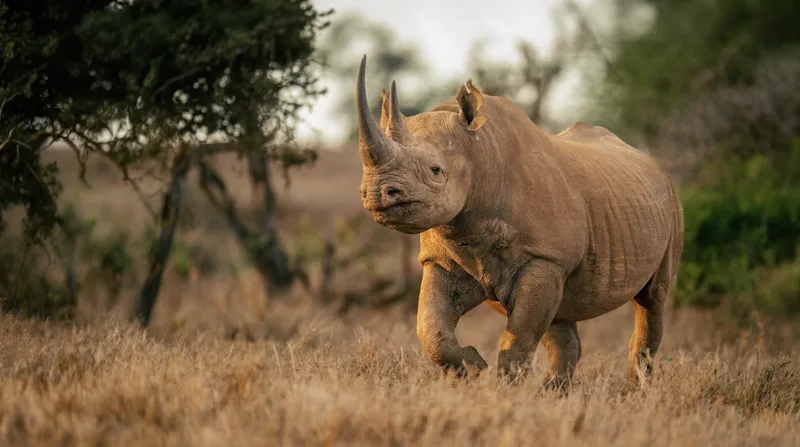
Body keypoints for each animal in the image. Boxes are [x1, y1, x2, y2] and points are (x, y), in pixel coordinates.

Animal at [355, 55, 684, 389]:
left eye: (436, 170)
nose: (377, 192)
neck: (479, 153)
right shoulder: (441, 259)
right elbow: (430, 328)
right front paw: (476, 369)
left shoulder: (545, 258)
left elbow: (520, 335)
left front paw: (505, 389)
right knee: (561, 314)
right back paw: (554, 392)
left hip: (670, 205)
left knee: (652, 299)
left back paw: (634, 391)